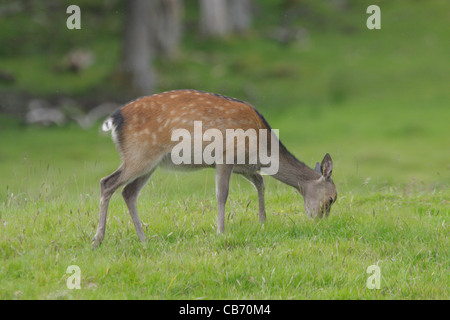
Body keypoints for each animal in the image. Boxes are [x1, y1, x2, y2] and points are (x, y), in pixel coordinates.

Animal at [91, 89, 336, 248]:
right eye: (332, 198)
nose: (320, 222)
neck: (261, 148)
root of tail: (114, 120)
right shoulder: (225, 157)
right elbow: (222, 195)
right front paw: (221, 231)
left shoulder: (244, 166)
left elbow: (260, 182)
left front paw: (263, 221)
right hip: (139, 155)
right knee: (107, 182)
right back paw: (97, 240)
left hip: (151, 163)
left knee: (128, 192)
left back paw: (143, 239)